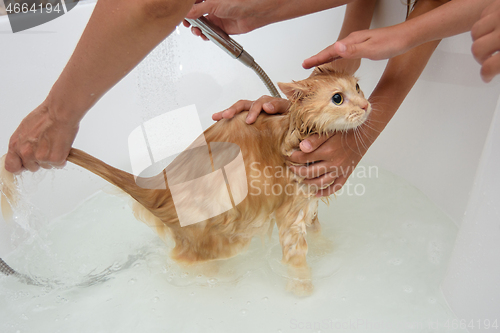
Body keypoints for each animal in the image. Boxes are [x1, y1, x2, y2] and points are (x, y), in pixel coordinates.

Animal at [0, 67, 372, 294]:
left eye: (357, 87)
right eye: (337, 98)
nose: (368, 105)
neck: (297, 131)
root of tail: (160, 187)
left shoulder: (309, 203)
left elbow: (319, 232)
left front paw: (329, 249)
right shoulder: (290, 212)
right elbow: (297, 263)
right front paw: (304, 292)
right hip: (221, 239)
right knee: (193, 263)